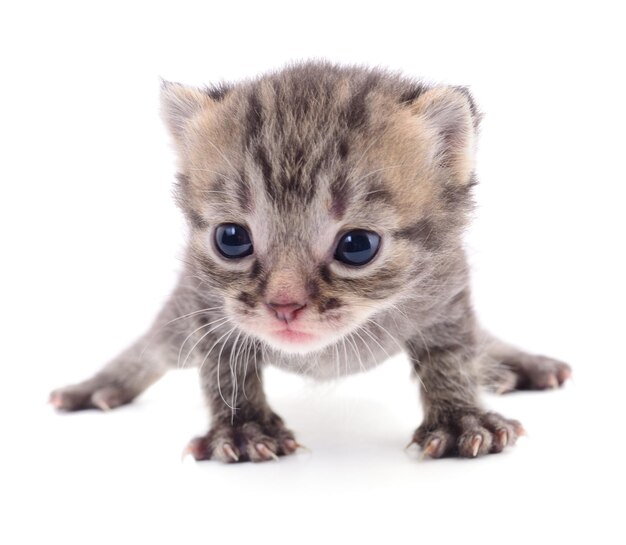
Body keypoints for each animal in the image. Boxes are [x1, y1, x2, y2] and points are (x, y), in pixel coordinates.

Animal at [48, 61, 568, 462]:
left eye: (357, 245)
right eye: (231, 239)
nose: (285, 305)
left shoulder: (446, 292)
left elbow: (453, 353)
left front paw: (460, 417)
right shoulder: (205, 305)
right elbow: (223, 366)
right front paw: (243, 427)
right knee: (154, 347)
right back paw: (99, 385)